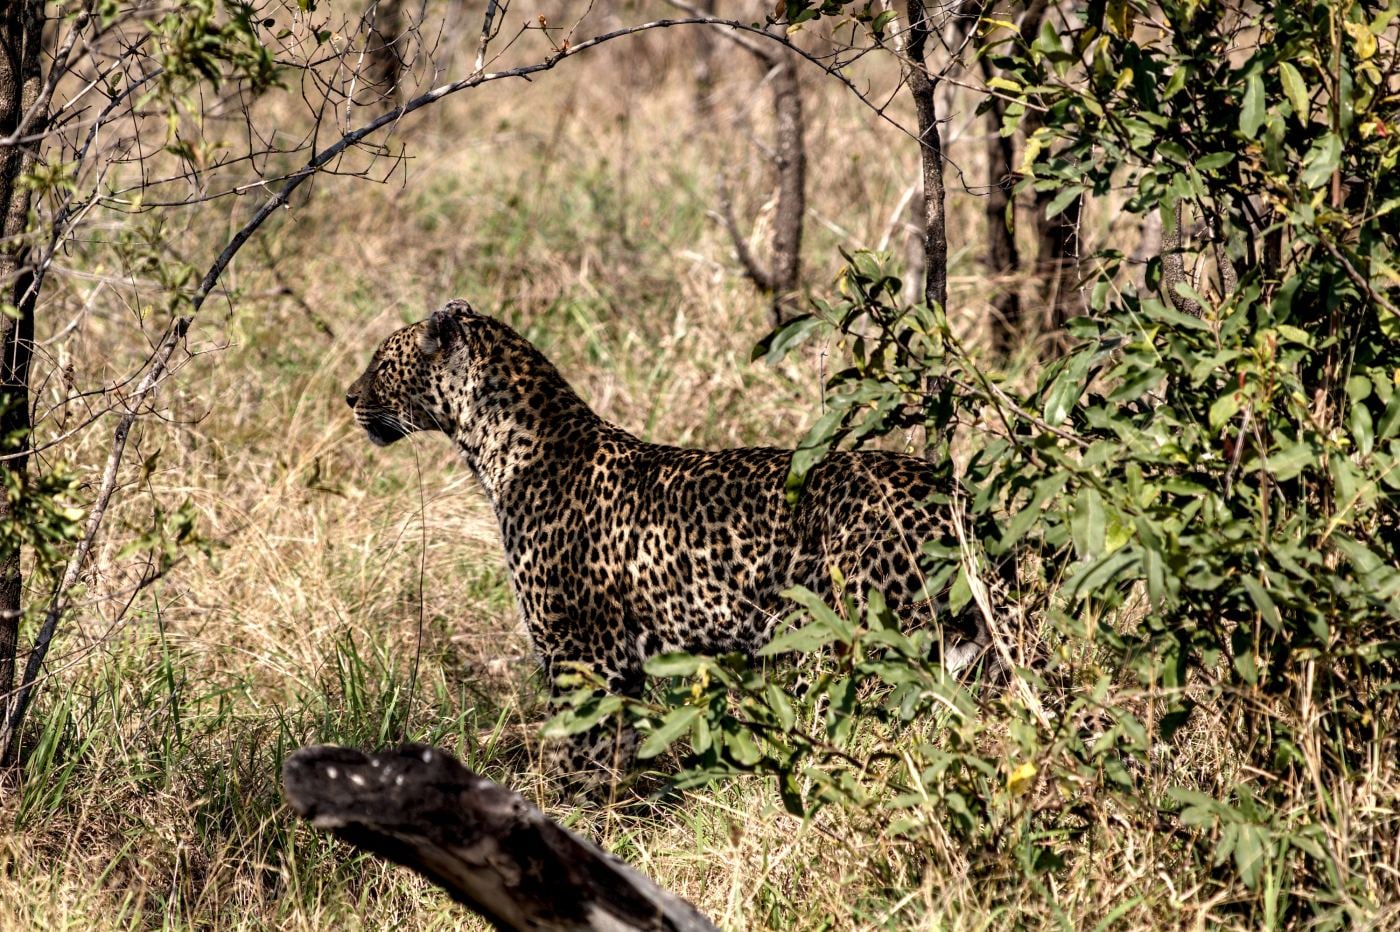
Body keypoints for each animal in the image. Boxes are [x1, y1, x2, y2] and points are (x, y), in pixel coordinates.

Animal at [346, 299, 997, 784]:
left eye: (381, 361)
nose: (349, 397)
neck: (495, 447)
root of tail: (951, 494)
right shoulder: (618, 662)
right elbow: (615, 750)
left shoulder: (580, 651)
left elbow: (574, 752)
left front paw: (564, 817)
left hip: (858, 638)